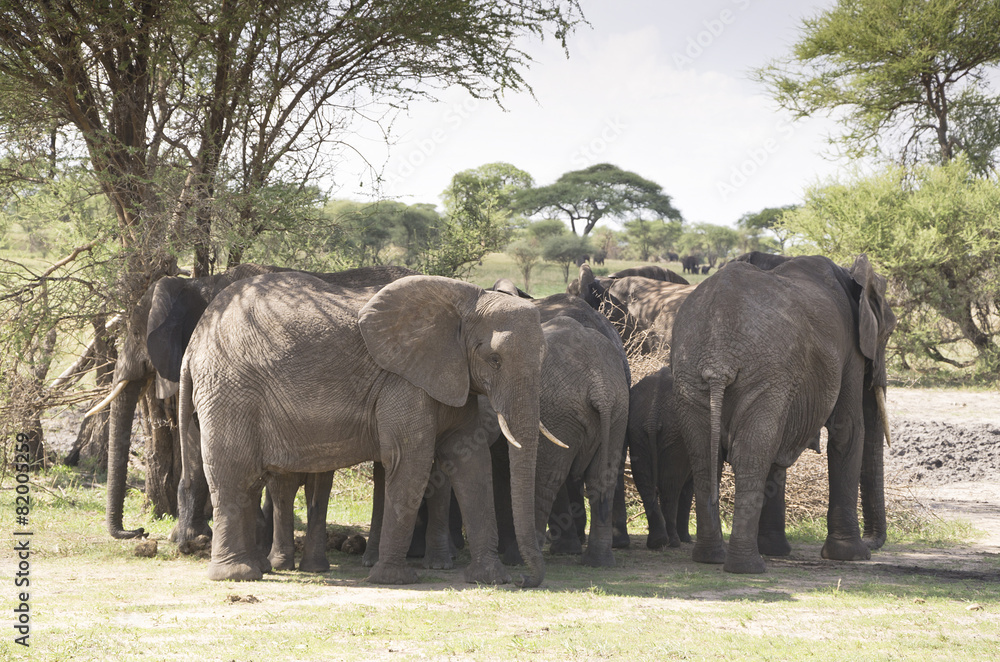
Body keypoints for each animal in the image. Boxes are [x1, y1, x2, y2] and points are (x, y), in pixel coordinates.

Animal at [177, 272, 559, 586]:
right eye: (493, 360)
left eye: (544, 356)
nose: (525, 580)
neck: (466, 300)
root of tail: (194, 341)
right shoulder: (403, 380)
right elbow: (411, 461)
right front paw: (394, 579)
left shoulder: (452, 377)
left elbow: (471, 463)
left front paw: (491, 578)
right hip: (229, 389)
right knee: (233, 473)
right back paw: (236, 576)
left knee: (250, 481)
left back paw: (259, 570)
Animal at [627, 367, 694, 550]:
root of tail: (653, 414)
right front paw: (687, 539)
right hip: (675, 436)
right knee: (671, 487)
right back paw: (674, 542)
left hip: (636, 430)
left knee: (645, 482)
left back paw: (657, 542)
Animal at [671, 254, 896, 573]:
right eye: (888, 333)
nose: (872, 542)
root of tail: (718, 359)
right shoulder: (850, 352)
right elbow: (849, 431)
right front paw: (851, 555)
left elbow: (780, 446)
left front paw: (775, 550)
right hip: (763, 373)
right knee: (751, 453)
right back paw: (747, 566)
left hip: (691, 376)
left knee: (704, 455)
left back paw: (711, 557)